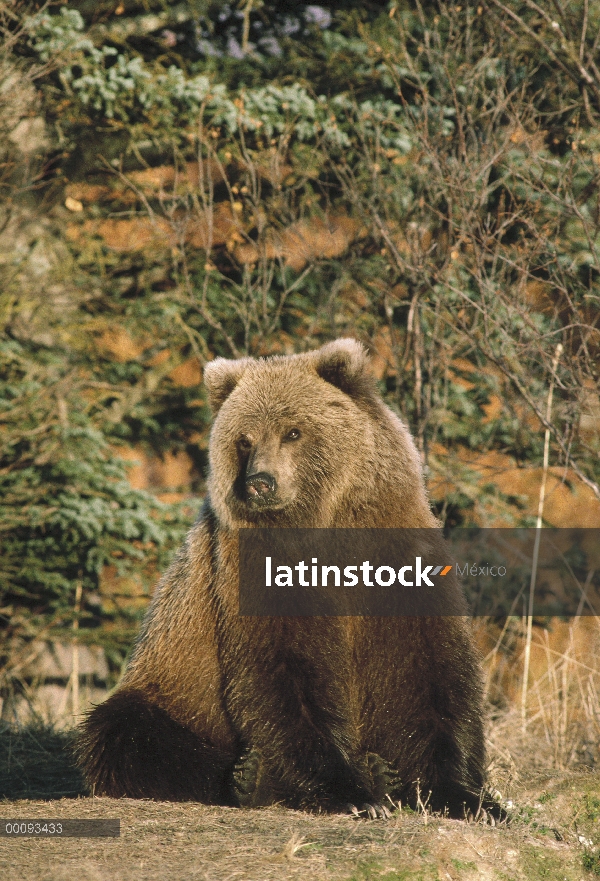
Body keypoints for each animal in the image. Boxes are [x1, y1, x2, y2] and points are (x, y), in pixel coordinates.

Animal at [77, 336, 500, 820]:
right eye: (244, 439)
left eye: (293, 432)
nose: (260, 482)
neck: (327, 521)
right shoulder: (252, 569)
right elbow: (284, 672)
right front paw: (352, 792)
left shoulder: (398, 553)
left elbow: (429, 671)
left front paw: (467, 796)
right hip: (169, 684)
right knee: (125, 734)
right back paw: (255, 779)